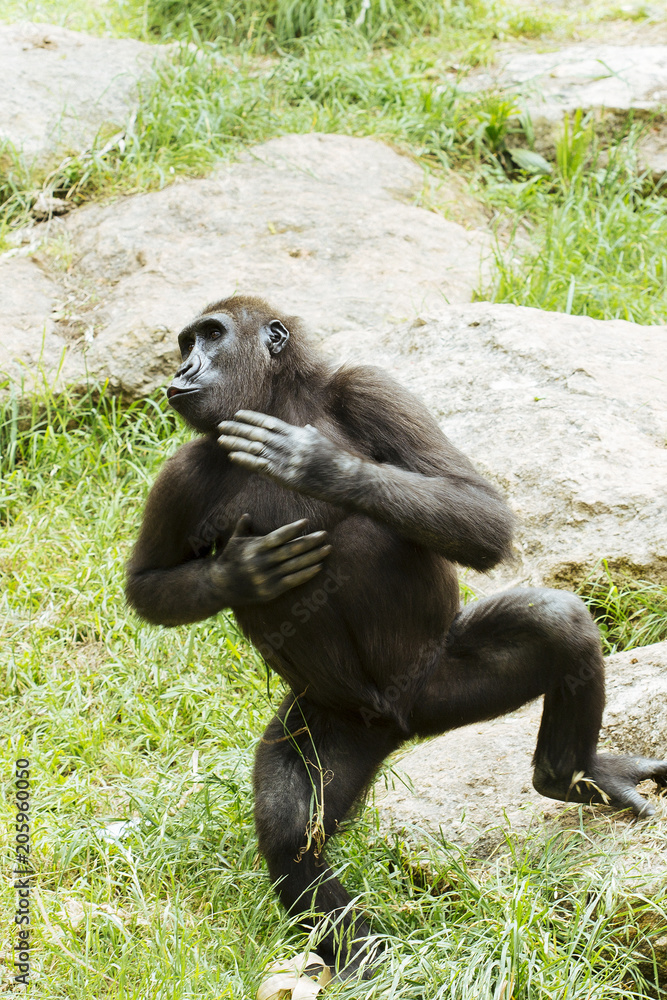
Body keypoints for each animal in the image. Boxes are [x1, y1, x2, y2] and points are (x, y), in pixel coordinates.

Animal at [126, 295, 667, 979]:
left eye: (211, 336)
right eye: (185, 343)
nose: (184, 368)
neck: (280, 398)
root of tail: (405, 725)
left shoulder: (371, 389)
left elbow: (482, 512)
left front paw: (320, 465)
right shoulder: (183, 470)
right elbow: (148, 586)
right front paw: (241, 572)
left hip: (441, 680)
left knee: (554, 622)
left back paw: (570, 777)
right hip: (339, 722)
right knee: (290, 827)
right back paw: (360, 958)